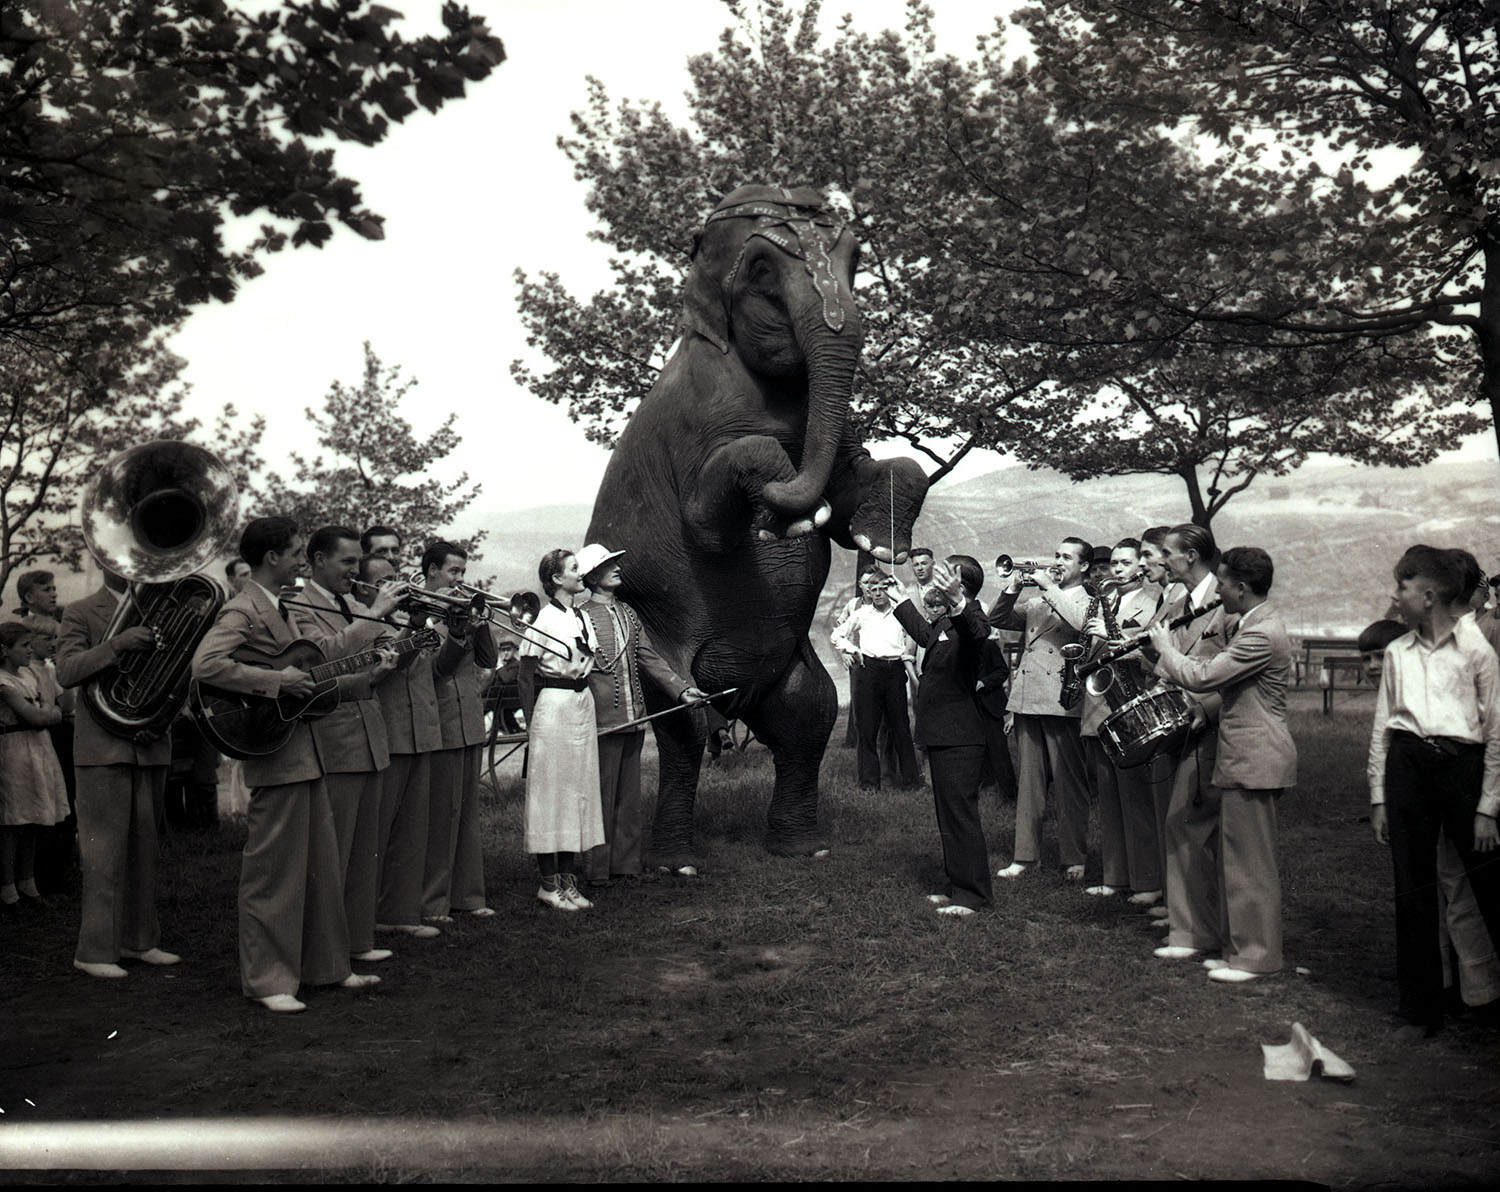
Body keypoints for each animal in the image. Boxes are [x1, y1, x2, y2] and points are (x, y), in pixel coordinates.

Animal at [582, 184, 924, 869]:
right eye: (762, 269)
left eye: (855, 259)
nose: (789, 513)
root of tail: (734, 702)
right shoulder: (694, 428)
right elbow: (713, 519)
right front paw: (782, 513)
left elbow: (862, 485)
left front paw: (875, 536)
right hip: (655, 650)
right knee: (684, 732)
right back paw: (676, 861)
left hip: (786, 679)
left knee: (809, 716)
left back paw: (801, 848)